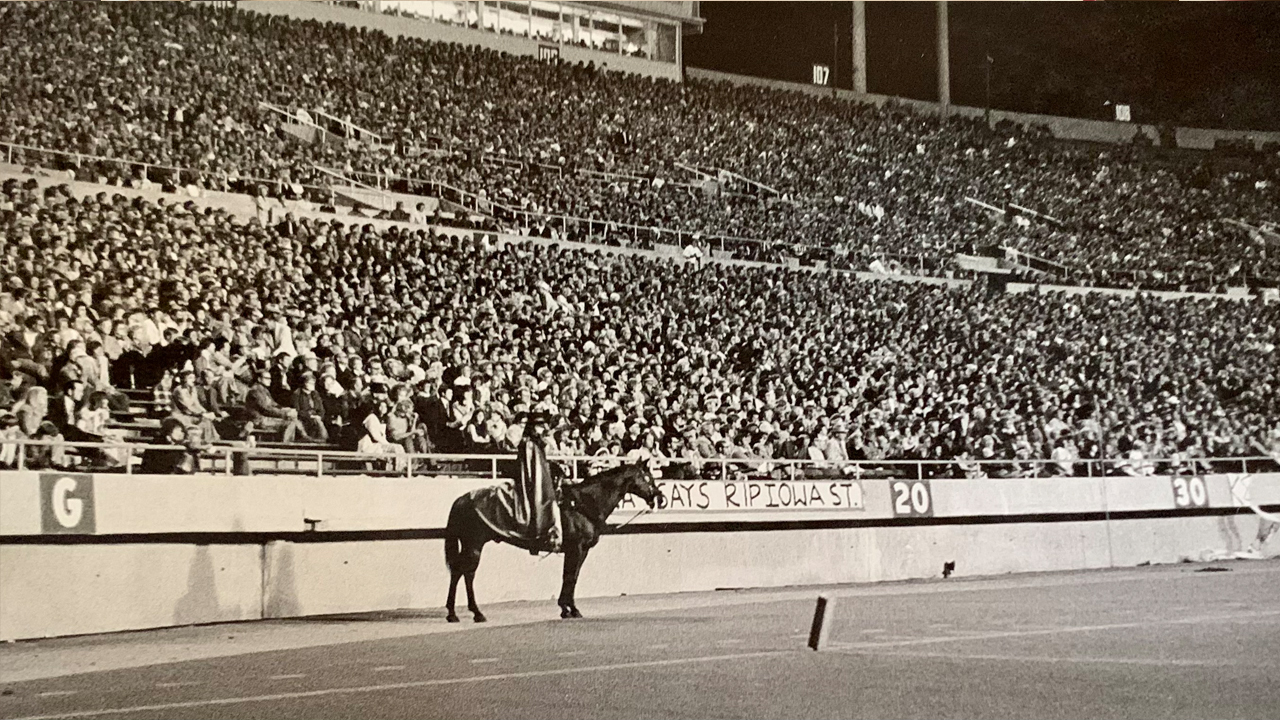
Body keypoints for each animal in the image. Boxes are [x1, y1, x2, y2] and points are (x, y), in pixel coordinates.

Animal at [442, 461, 665, 620]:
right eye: (647, 477)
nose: (660, 497)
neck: (581, 504)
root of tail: (462, 499)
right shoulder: (577, 548)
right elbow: (570, 577)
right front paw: (570, 608)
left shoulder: (577, 550)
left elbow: (571, 577)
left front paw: (566, 608)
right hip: (474, 545)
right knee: (467, 574)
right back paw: (475, 612)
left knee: (457, 572)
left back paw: (453, 613)